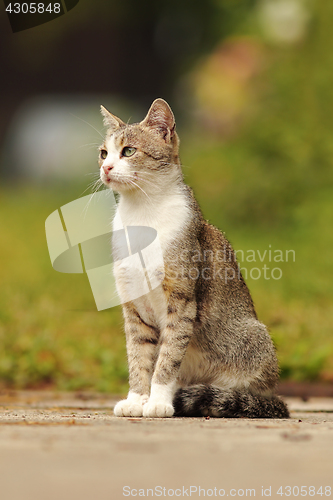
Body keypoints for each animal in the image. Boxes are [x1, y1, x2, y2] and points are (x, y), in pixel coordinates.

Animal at [98, 97, 288, 418]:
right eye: (103, 153)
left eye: (129, 151)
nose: (106, 167)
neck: (142, 215)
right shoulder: (134, 304)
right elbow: (138, 355)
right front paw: (137, 399)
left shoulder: (182, 299)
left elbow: (169, 355)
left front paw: (159, 401)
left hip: (253, 340)